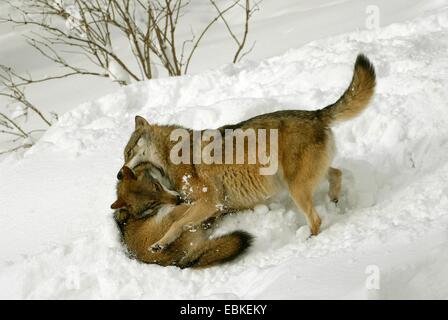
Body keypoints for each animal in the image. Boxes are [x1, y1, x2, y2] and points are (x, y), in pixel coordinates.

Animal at [116, 53, 374, 251]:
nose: (119, 174)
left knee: (317, 218)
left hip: (296, 188)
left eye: (128, 152)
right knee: (337, 173)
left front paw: (159, 243)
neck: (174, 154)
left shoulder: (210, 203)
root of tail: (317, 114)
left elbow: (175, 224)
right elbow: (179, 222)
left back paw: (309, 240)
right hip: (298, 180)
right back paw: (335, 202)